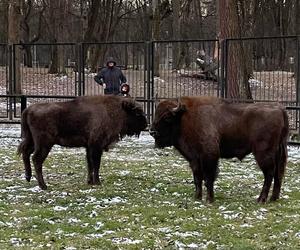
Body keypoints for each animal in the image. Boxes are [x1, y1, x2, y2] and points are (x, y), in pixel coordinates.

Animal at [17, 95, 148, 189]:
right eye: (137, 112)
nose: (146, 124)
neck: (114, 109)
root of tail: (28, 110)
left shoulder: (89, 147)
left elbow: (89, 164)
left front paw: (90, 182)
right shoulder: (96, 146)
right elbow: (96, 164)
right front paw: (97, 182)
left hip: (32, 141)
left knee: (25, 152)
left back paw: (28, 177)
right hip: (44, 144)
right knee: (36, 159)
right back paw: (43, 186)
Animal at [150, 95, 288, 203]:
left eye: (167, 117)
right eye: (156, 113)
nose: (152, 132)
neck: (184, 117)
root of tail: (279, 109)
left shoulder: (209, 156)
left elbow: (208, 178)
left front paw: (209, 200)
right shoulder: (194, 159)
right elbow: (197, 178)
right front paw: (197, 197)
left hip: (263, 153)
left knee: (269, 174)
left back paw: (261, 199)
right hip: (278, 152)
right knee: (278, 173)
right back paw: (273, 198)